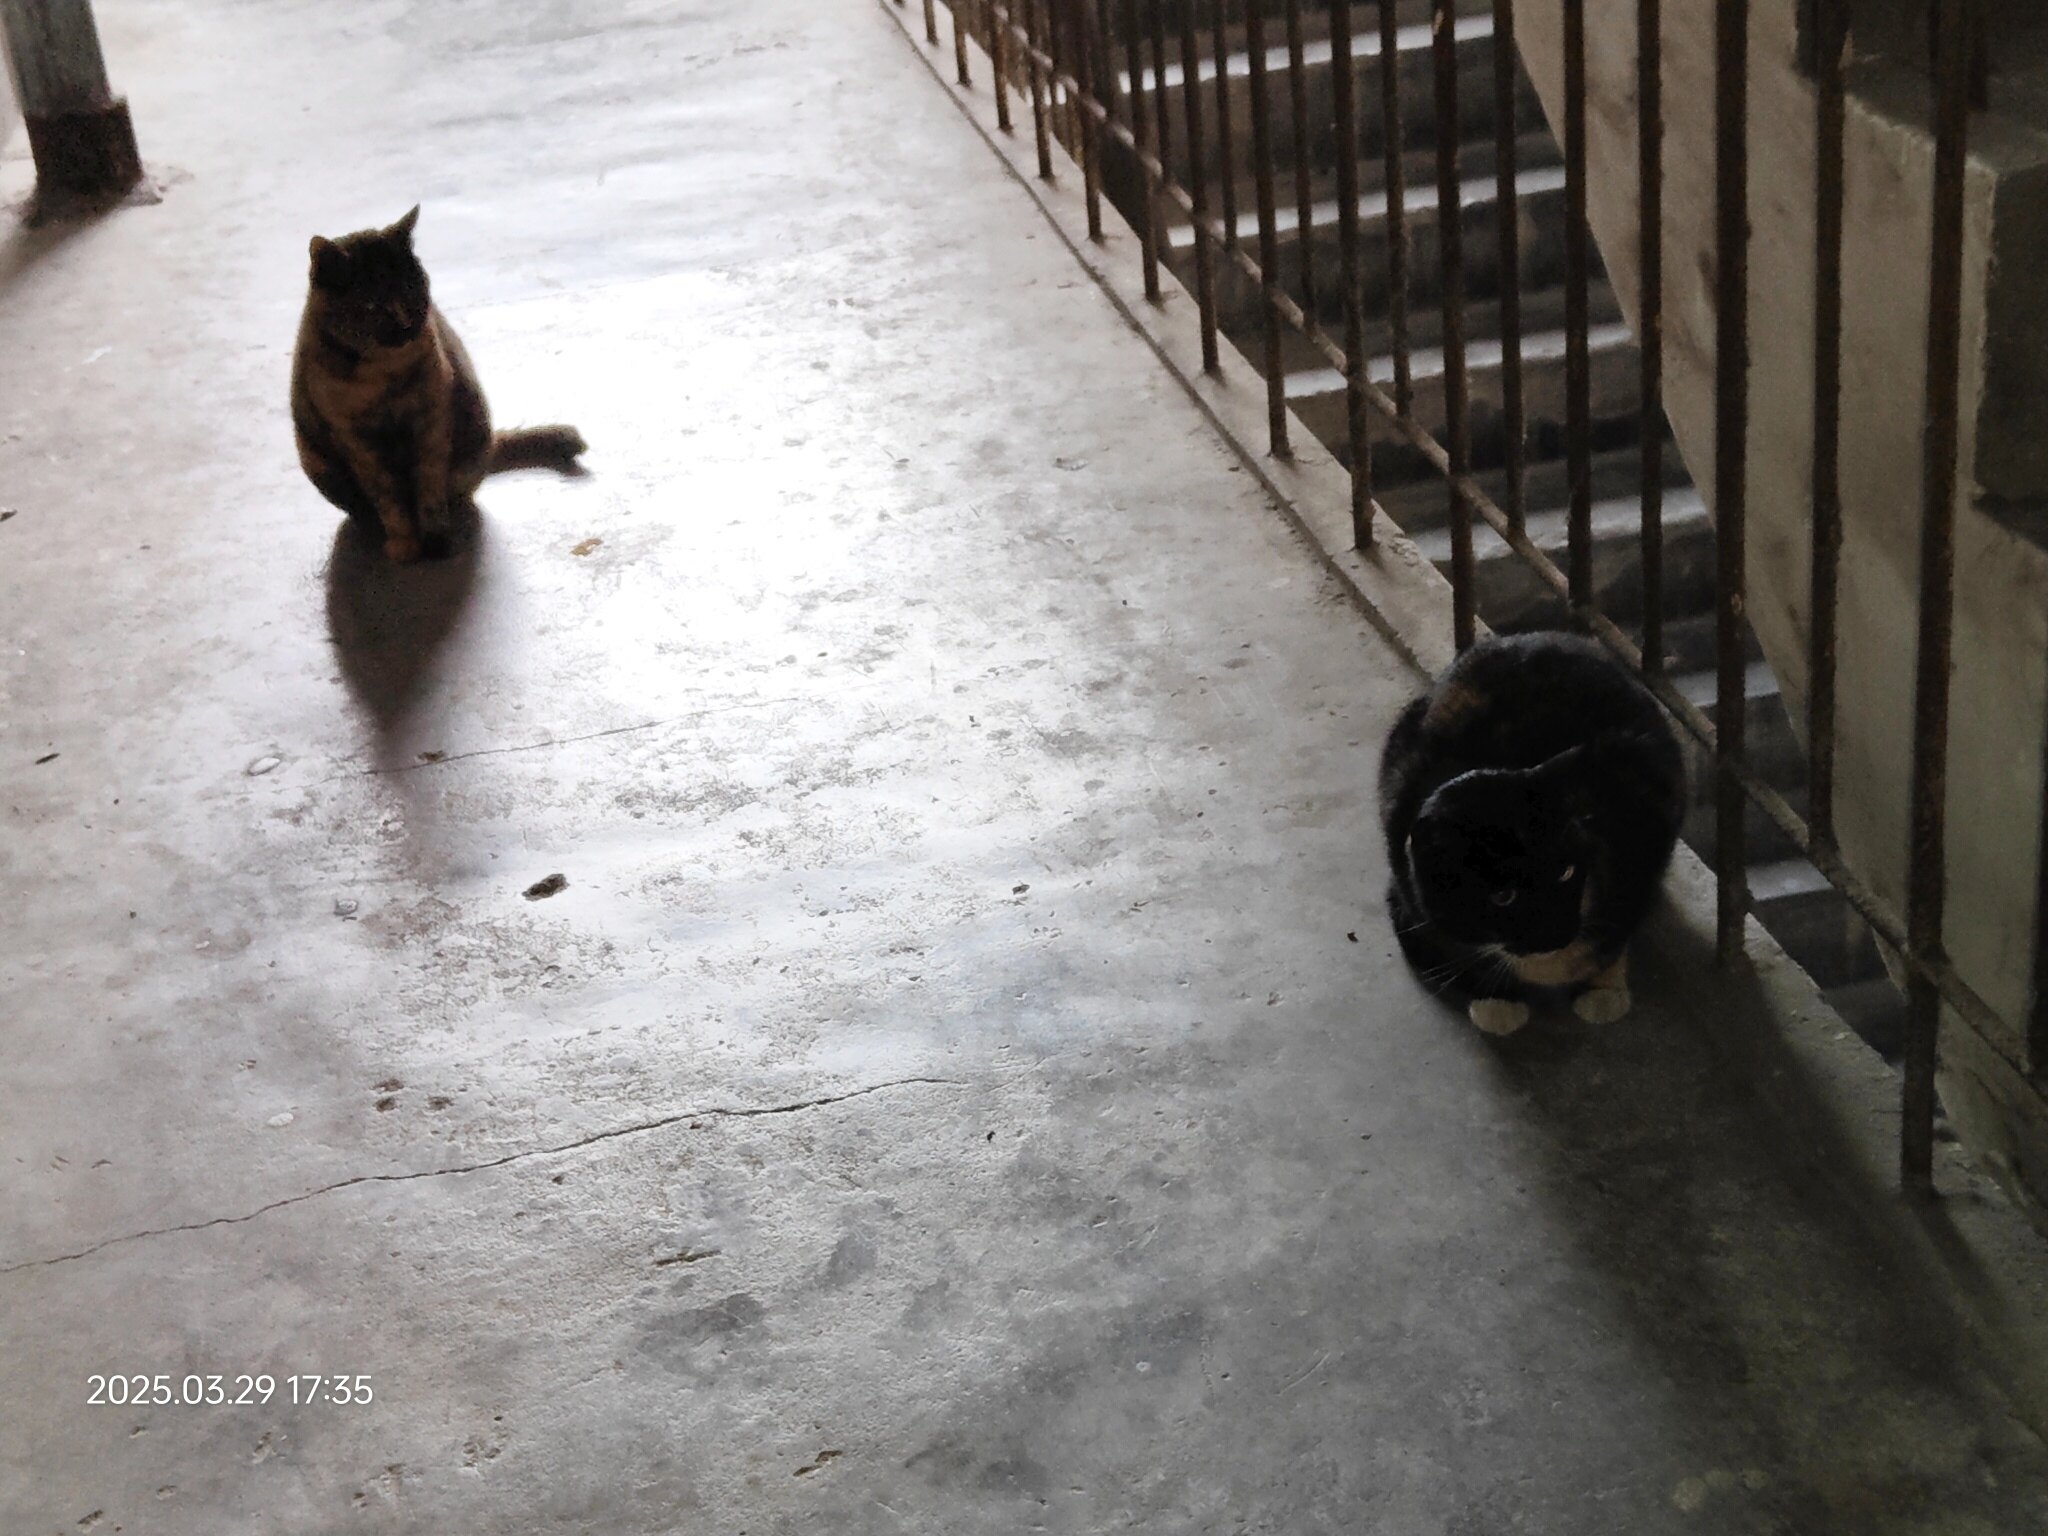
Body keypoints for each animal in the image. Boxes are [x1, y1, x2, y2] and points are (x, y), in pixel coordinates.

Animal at [291, 205, 586, 562]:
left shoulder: (430, 421)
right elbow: (388, 496)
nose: (405, 323)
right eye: (370, 305)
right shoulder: (359, 441)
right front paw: (404, 544)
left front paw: (435, 539)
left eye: (408, 288)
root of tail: (490, 447)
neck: (382, 374)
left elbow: (429, 487)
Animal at [1378, 631, 1685, 1036]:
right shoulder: (1407, 904)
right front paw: (1497, 1003)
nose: (1556, 934)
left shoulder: (1646, 824)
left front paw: (1603, 991)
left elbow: (1620, 928)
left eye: (1566, 872)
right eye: (1503, 896)